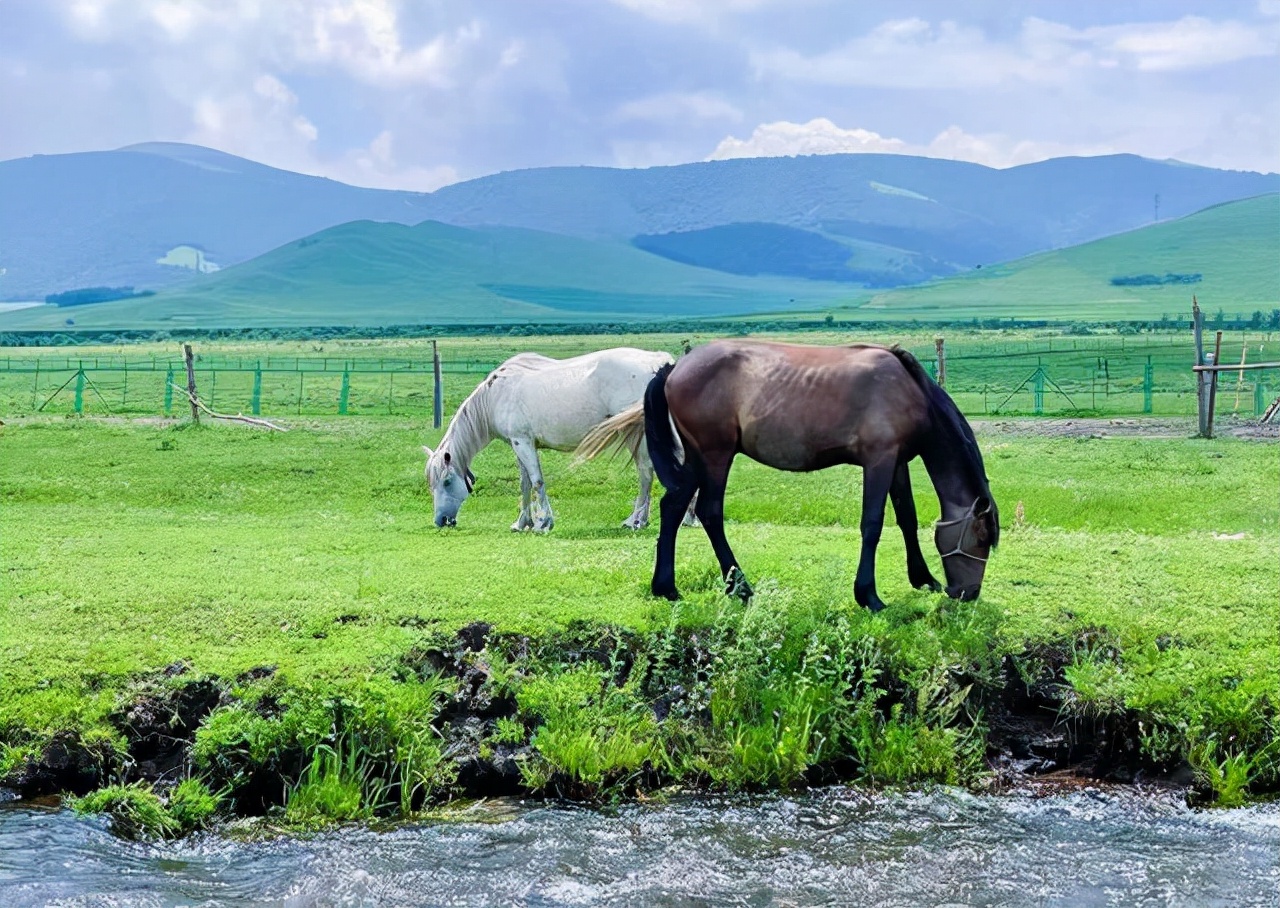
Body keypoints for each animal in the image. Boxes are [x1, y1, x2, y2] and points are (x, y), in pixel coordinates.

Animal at [422, 348, 680, 530]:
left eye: (447, 482)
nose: (441, 520)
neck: (495, 395)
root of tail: (659, 362)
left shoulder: (523, 443)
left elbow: (537, 481)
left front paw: (543, 523)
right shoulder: (519, 445)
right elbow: (525, 484)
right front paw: (522, 523)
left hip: (637, 435)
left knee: (645, 472)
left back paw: (635, 521)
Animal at [583, 340, 998, 609]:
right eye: (980, 539)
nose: (968, 593)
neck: (910, 390)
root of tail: (673, 369)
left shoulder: (896, 462)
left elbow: (907, 519)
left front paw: (923, 579)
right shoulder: (879, 461)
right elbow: (873, 524)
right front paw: (868, 595)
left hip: (699, 458)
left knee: (673, 507)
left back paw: (666, 588)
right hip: (715, 456)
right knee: (709, 513)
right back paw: (740, 588)